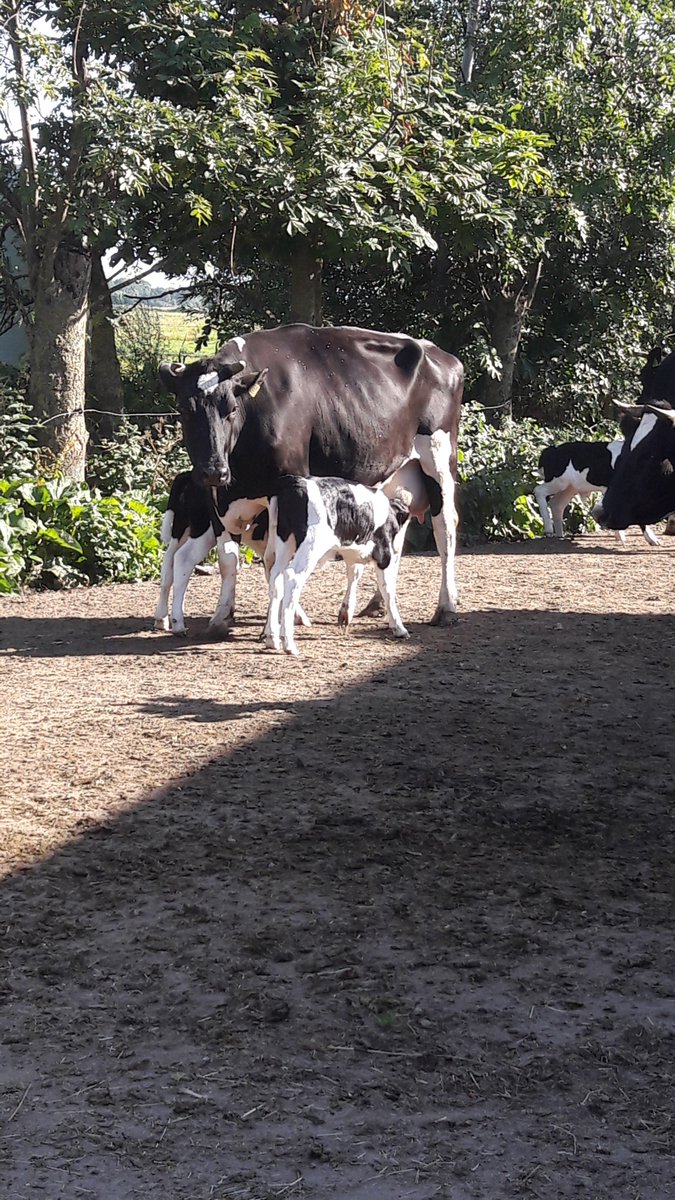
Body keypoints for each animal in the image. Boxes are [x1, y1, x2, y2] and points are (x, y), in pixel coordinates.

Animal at [158, 324, 462, 636]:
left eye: (230, 409)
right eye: (185, 410)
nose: (213, 470)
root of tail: (442, 355)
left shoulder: (283, 491)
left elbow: (272, 562)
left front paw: (273, 626)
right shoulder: (218, 498)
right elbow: (228, 560)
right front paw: (222, 617)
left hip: (439, 460)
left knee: (445, 529)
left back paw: (446, 607)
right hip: (395, 478)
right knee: (398, 539)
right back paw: (374, 604)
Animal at [264, 475, 411, 656]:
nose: (399, 549)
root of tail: (294, 482)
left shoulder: (353, 553)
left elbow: (354, 573)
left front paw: (345, 614)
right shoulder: (383, 556)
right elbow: (388, 590)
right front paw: (399, 628)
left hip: (284, 542)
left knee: (275, 579)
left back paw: (272, 639)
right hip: (310, 546)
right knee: (292, 578)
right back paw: (289, 645)